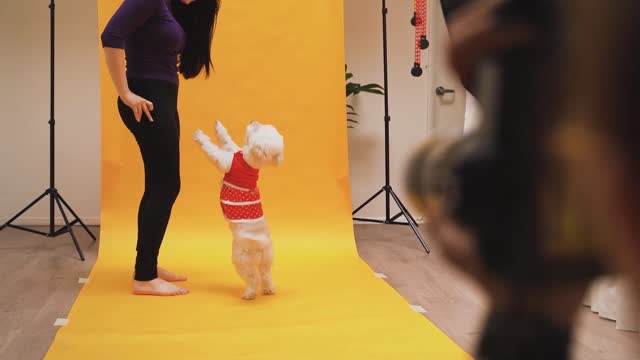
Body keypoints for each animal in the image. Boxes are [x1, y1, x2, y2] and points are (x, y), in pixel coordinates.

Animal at [194, 119, 284, 300]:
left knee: (253, 277)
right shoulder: (234, 151)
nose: (253, 121)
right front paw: (219, 127)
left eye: (256, 128)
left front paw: (200, 137)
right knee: (266, 274)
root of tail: (260, 246)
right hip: (267, 258)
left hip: (241, 258)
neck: (248, 161)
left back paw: (249, 293)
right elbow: (227, 141)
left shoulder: (226, 161)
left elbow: (213, 150)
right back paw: (268, 289)